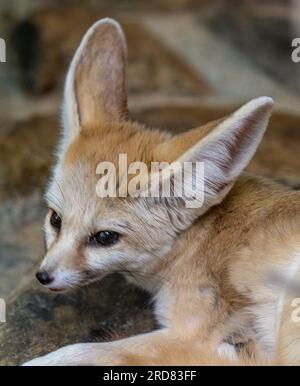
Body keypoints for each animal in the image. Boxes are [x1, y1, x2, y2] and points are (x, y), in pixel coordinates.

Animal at [24, 19, 300, 366]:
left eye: (105, 237)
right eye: (55, 219)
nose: (43, 276)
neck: (198, 241)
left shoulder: (192, 336)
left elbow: (80, 350)